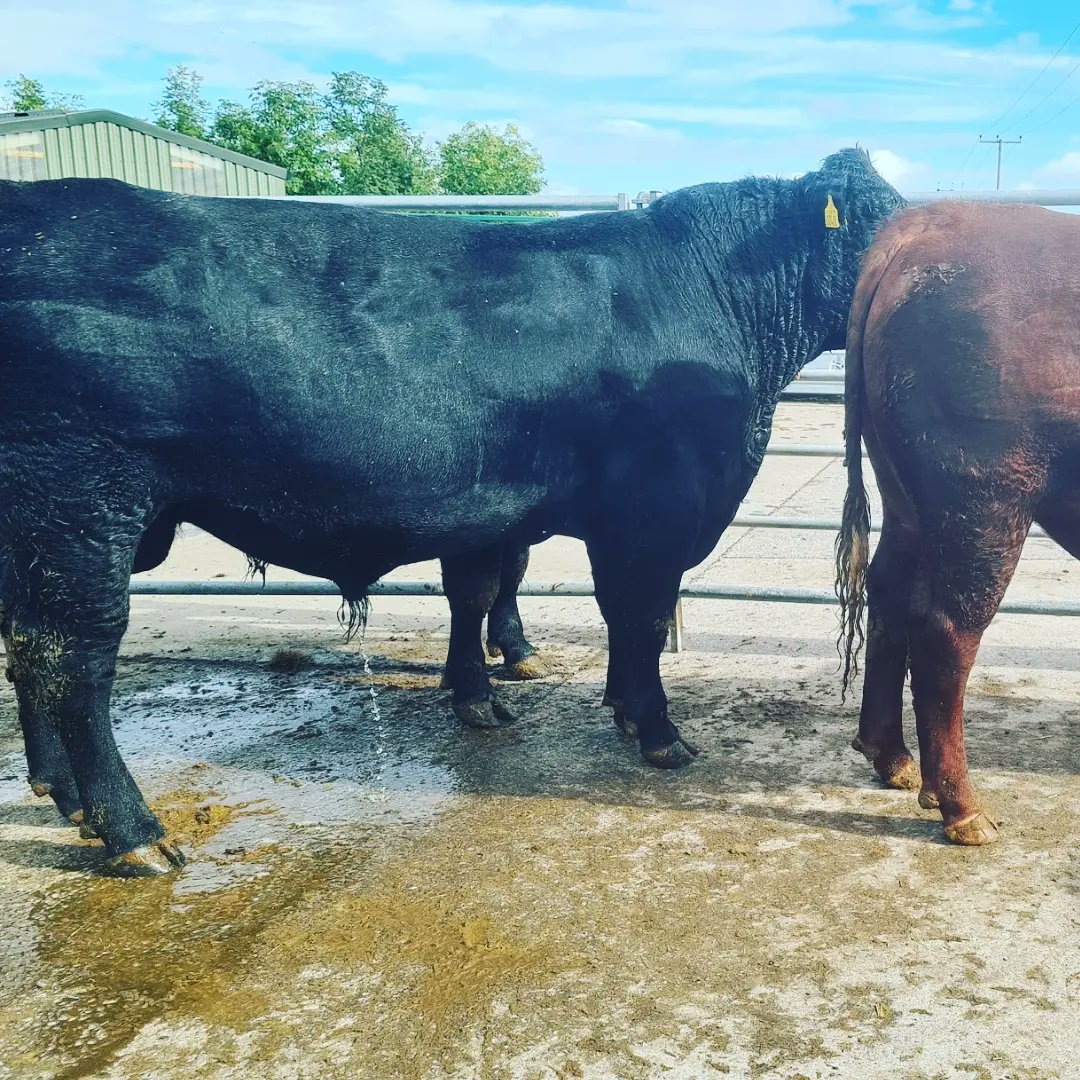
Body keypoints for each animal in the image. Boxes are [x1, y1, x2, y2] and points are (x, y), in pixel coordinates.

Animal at [1, 149, 903, 875]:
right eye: (885, 225)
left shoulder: (493, 504)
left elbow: (492, 595)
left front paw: (515, 697)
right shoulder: (650, 514)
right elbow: (637, 617)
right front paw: (655, 730)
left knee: (26, 642)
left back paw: (62, 793)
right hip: (81, 505)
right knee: (72, 655)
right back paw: (132, 832)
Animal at [836, 199, 1080, 846]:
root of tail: (922, 224)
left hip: (906, 499)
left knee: (889, 590)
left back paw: (894, 762)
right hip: (985, 497)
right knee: (946, 629)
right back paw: (966, 813)